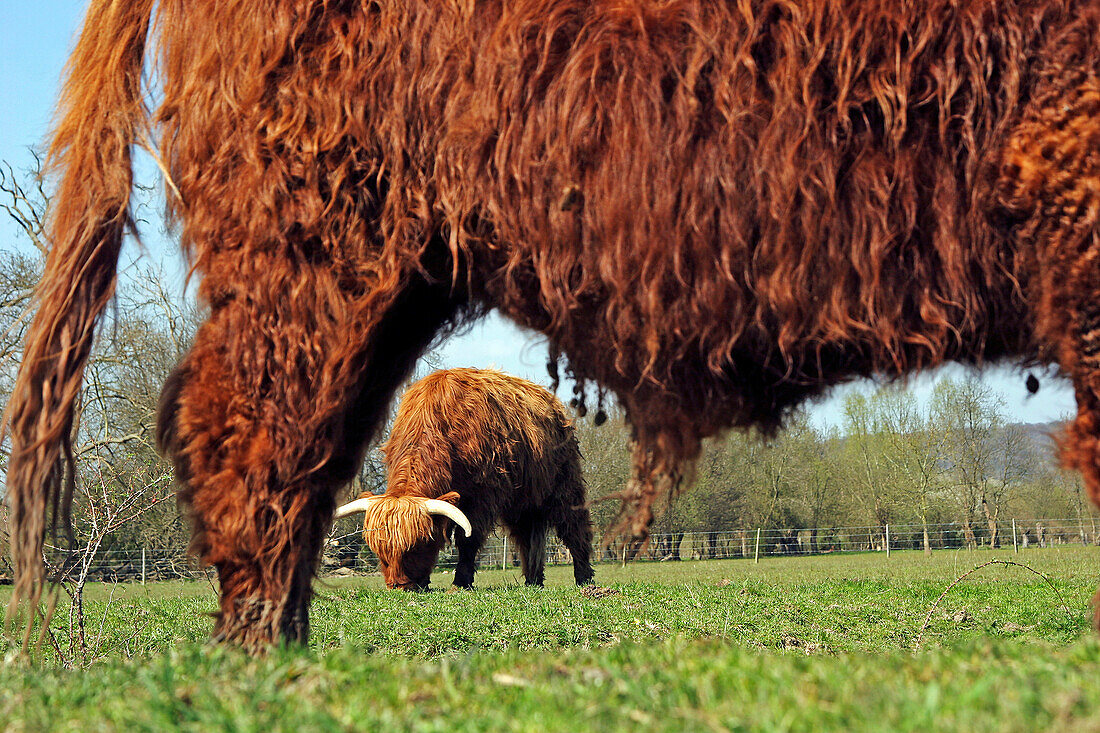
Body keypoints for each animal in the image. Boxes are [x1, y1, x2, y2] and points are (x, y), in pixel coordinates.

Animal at [332, 367, 594, 589]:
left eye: (419, 544)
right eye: (379, 550)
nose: (398, 585)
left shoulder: (482, 495)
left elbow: (469, 539)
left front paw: (461, 583)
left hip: (564, 483)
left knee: (574, 526)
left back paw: (584, 579)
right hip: (523, 500)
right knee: (527, 535)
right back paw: (533, 581)